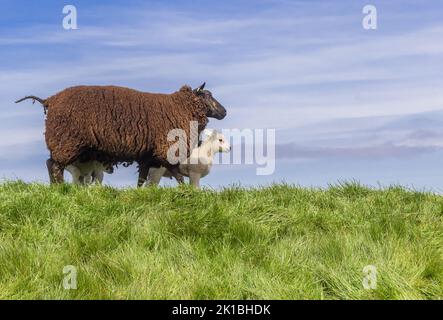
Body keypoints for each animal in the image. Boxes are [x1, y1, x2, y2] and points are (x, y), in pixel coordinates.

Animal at [15, 82, 227, 184]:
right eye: (207, 96)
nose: (224, 112)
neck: (181, 107)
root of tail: (50, 100)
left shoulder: (148, 155)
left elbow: (142, 179)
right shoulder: (166, 149)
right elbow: (178, 176)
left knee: (51, 164)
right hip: (66, 141)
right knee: (54, 166)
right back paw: (58, 188)